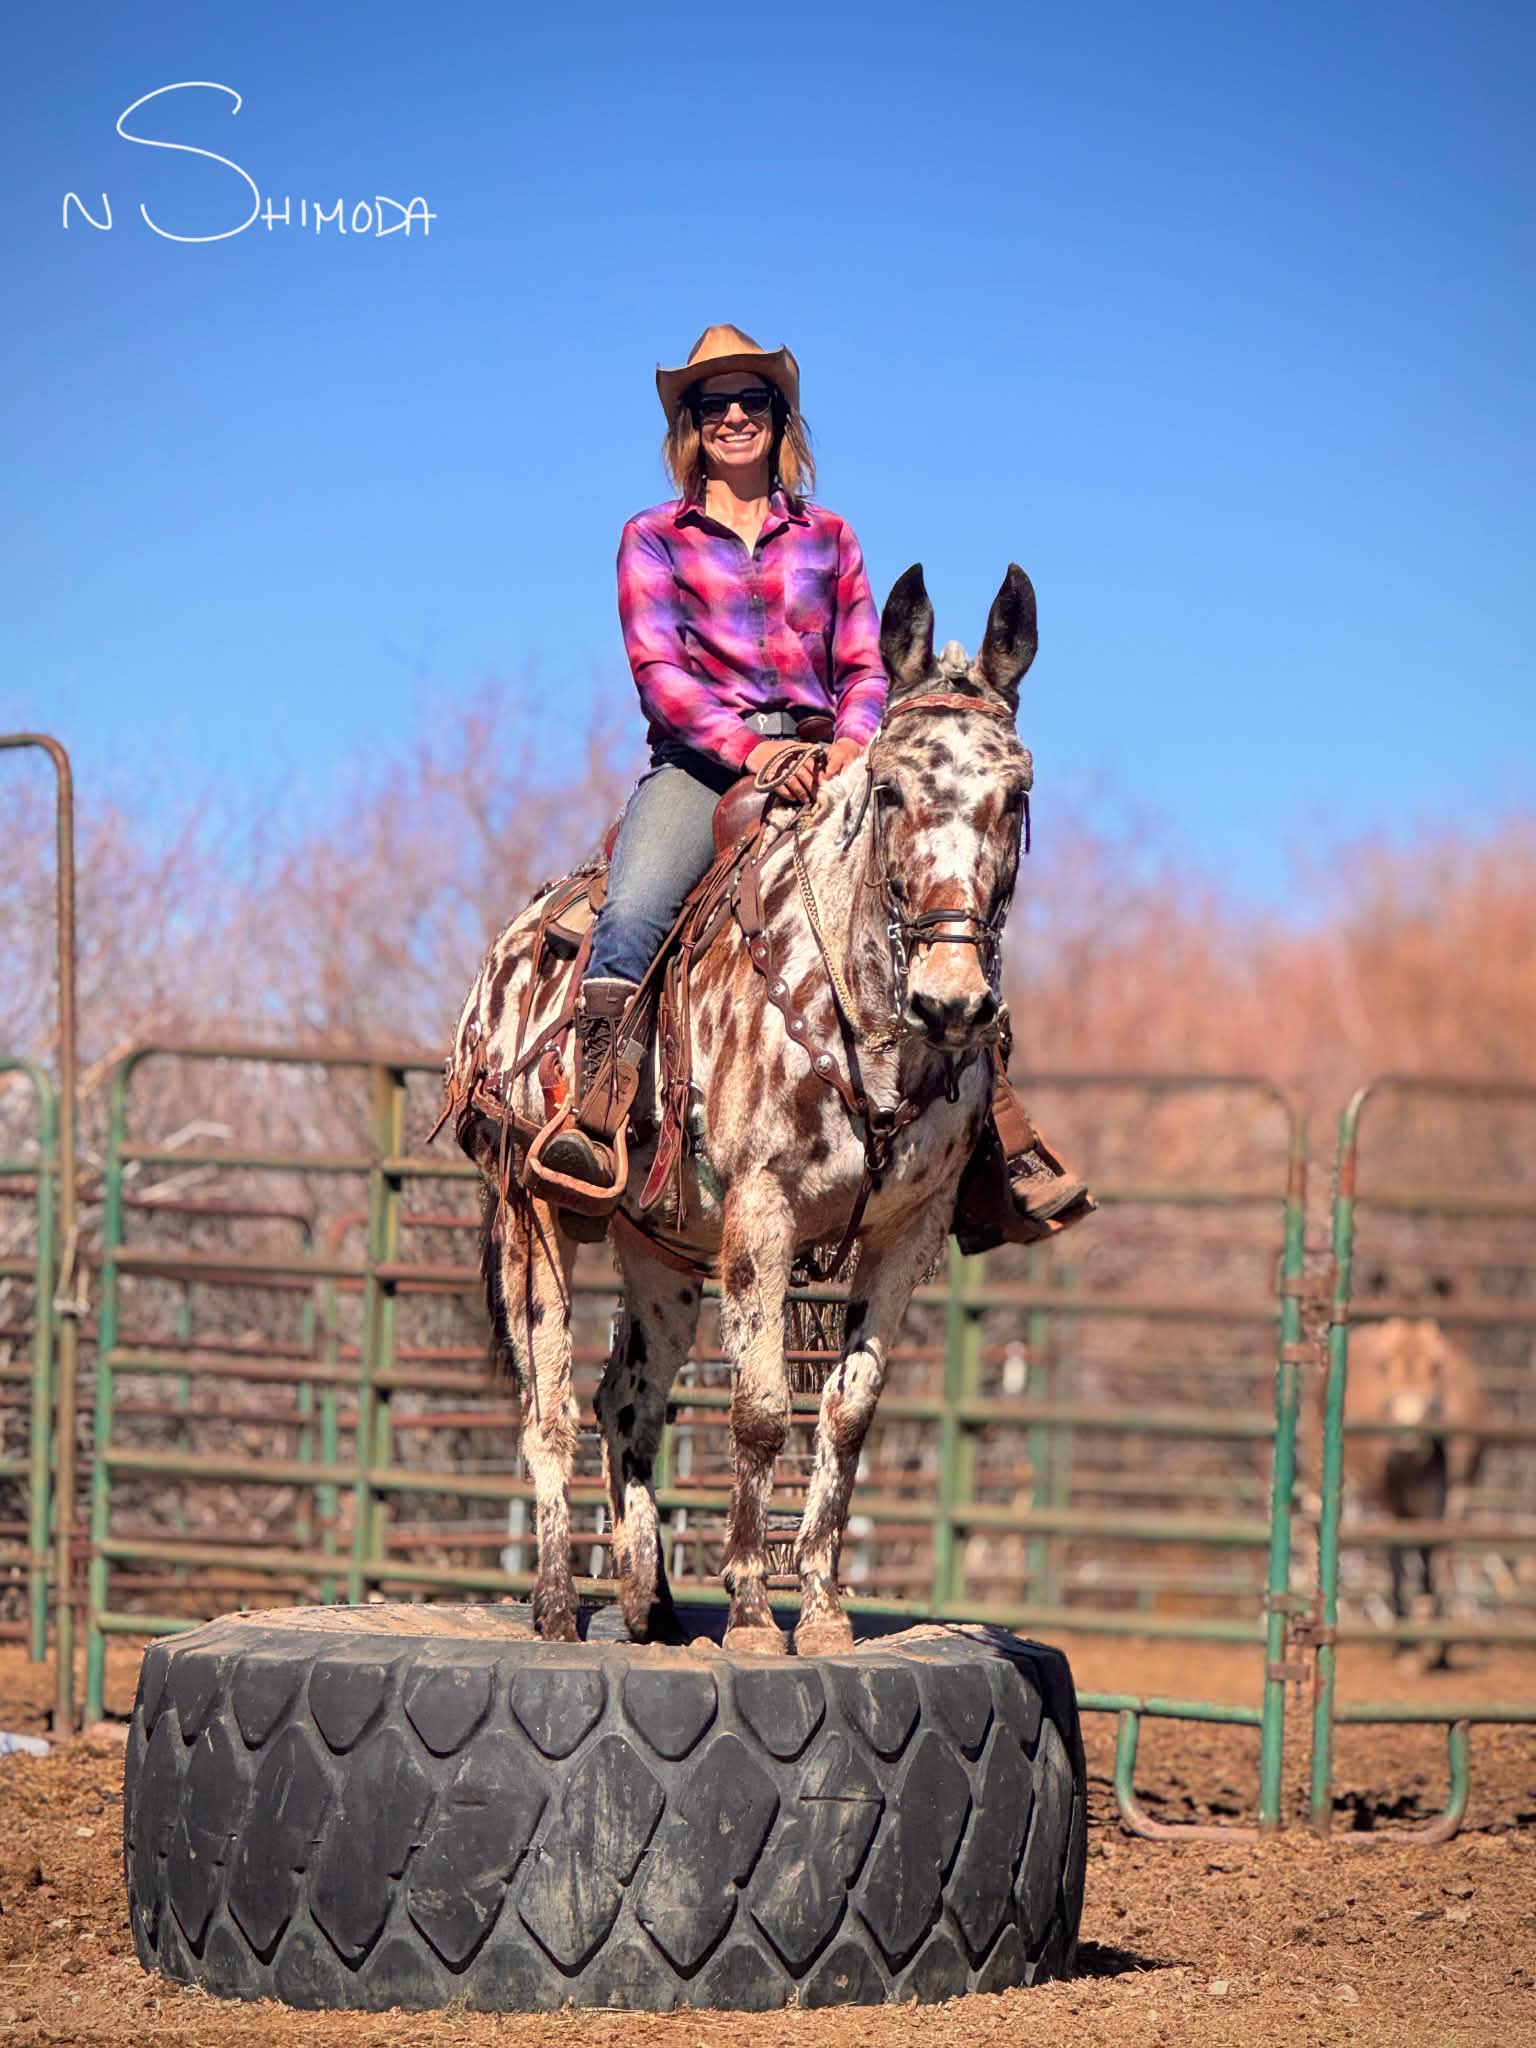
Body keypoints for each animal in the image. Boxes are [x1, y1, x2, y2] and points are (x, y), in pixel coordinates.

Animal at [444, 562, 1039, 1654]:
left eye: (1015, 793)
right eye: (889, 789)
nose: (952, 999)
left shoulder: (907, 1234)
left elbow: (847, 1413)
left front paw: (825, 1611)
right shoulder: (761, 1216)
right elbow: (760, 1410)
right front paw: (757, 1614)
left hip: (663, 1250)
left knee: (625, 1403)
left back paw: (650, 1605)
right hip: (529, 1214)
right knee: (549, 1408)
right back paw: (553, 1602)